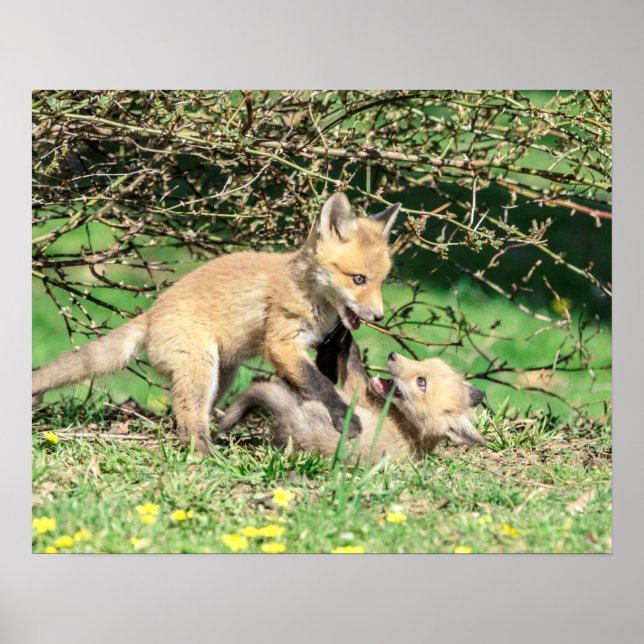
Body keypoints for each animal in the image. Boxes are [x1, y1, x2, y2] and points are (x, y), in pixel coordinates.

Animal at [32, 193, 400, 454]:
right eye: (358, 279)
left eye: (381, 282)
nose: (379, 317)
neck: (310, 294)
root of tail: (151, 314)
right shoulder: (280, 343)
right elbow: (319, 384)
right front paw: (344, 417)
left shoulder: (317, 343)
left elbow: (316, 379)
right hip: (201, 367)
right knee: (187, 420)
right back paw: (205, 453)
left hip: (221, 375)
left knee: (182, 416)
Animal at [219, 328, 486, 463]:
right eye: (423, 363)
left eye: (422, 382)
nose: (392, 356)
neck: (412, 431)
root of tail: (295, 423)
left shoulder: (357, 391)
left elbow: (353, 357)